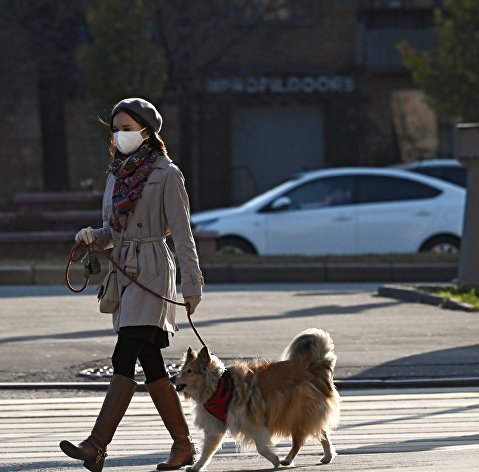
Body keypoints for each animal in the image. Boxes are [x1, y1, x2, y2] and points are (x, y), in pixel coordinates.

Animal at [174, 328, 340, 472]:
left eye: (189, 371)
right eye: (182, 370)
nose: (171, 378)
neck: (219, 385)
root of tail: (316, 365)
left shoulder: (254, 422)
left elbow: (261, 447)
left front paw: (275, 460)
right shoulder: (216, 427)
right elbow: (207, 451)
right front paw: (196, 467)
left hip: (295, 413)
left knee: (300, 440)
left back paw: (288, 460)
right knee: (322, 432)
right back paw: (327, 456)